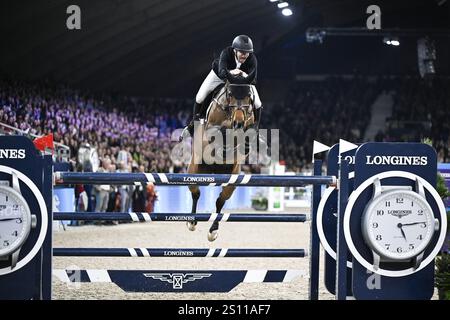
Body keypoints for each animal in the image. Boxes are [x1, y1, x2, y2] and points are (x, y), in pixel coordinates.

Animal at [186, 81, 256, 241]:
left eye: (249, 96)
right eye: (230, 94)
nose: (238, 123)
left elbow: (246, 132)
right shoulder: (212, 129)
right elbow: (219, 131)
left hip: (232, 180)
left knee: (220, 200)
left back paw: (213, 230)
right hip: (194, 171)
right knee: (196, 192)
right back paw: (192, 222)